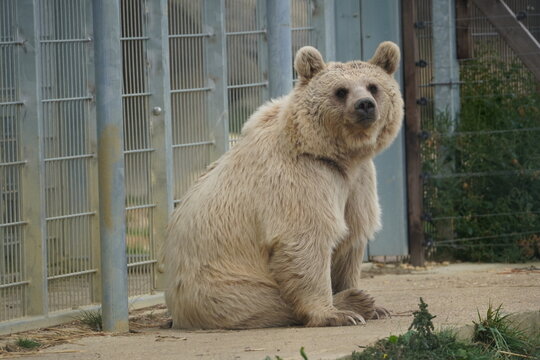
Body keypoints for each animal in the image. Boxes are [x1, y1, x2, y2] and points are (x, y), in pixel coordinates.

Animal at [165, 40, 404, 330]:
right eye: (341, 91)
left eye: (373, 86)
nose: (365, 105)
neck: (336, 157)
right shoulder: (303, 180)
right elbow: (306, 240)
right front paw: (338, 313)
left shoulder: (358, 183)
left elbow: (351, 240)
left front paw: (372, 304)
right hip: (224, 285)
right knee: (266, 303)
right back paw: (354, 302)